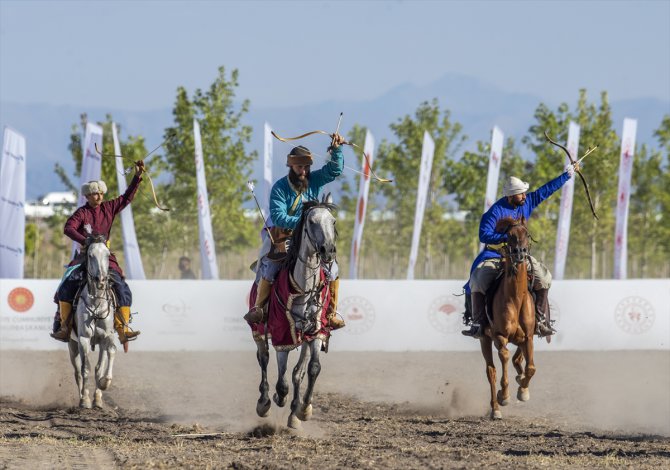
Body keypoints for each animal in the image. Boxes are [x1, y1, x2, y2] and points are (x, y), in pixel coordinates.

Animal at [67, 237, 117, 410]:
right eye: (90, 255)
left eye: (108, 255)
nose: (101, 280)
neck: (96, 304)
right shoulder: (83, 339)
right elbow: (86, 369)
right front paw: (86, 400)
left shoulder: (106, 337)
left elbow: (100, 366)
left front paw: (100, 393)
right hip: (72, 345)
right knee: (77, 373)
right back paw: (82, 397)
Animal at [256, 196, 342, 428]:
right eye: (312, 221)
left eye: (333, 221)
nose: (328, 251)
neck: (304, 289)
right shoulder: (282, 334)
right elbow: (282, 379)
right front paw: (279, 398)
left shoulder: (316, 333)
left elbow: (311, 369)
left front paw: (303, 410)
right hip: (258, 329)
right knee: (264, 358)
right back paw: (264, 402)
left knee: (298, 372)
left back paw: (294, 412)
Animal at [484, 217, 540, 418]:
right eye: (508, 235)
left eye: (527, 234)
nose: (520, 253)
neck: (515, 298)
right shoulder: (499, 336)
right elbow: (505, 357)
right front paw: (505, 395)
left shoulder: (529, 336)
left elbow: (531, 368)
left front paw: (523, 391)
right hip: (484, 338)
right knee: (491, 371)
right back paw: (495, 408)